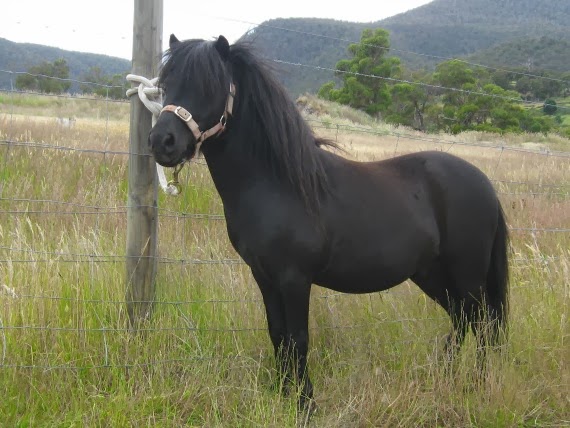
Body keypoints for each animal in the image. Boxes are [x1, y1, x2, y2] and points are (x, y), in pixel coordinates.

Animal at [149, 34, 509, 410]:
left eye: (210, 86)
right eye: (165, 85)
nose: (162, 142)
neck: (277, 183)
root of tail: (485, 185)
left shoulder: (295, 277)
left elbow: (299, 338)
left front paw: (305, 403)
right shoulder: (264, 275)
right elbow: (278, 335)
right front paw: (283, 394)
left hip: (468, 274)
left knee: (482, 322)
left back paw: (478, 384)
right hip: (431, 273)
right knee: (462, 318)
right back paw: (448, 378)